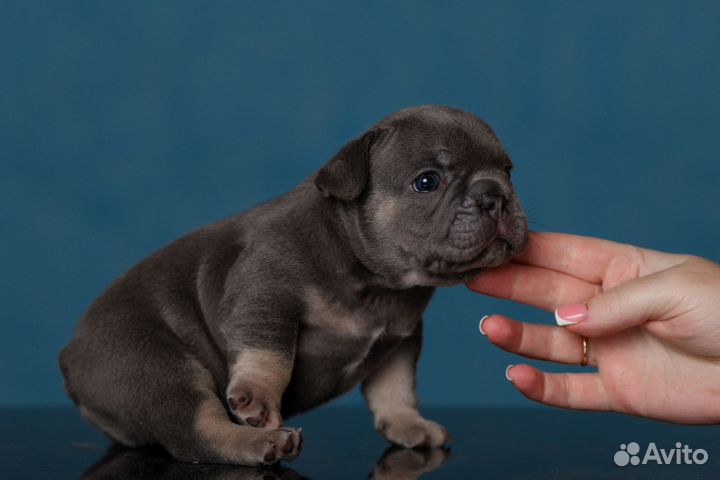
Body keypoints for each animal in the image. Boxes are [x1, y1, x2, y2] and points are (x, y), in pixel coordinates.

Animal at [57, 104, 528, 464]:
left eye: (508, 171)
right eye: (427, 181)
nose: (494, 195)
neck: (375, 281)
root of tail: (71, 356)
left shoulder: (401, 339)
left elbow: (395, 388)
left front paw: (408, 423)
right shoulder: (265, 294)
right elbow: (270, 355)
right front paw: (256, 397)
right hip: (156, 368)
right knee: (197, 430)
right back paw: (262, 442)